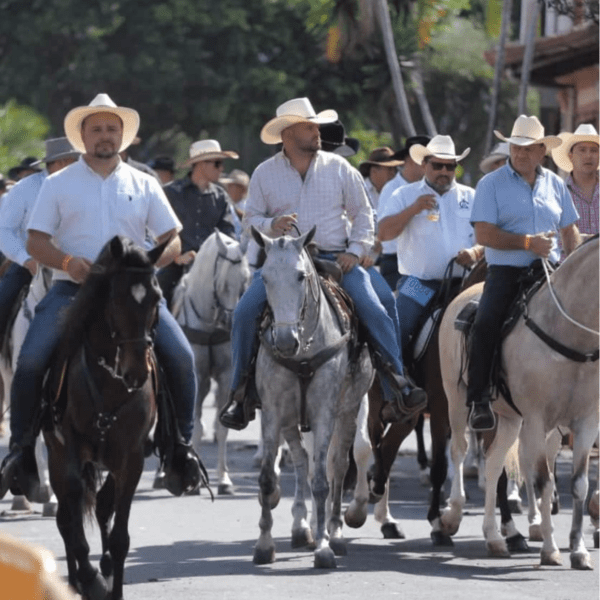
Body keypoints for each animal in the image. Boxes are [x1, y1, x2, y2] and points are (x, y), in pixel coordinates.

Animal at [42, 236, 165, 600]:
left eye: (157, 298)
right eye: (116, 297)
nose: (137, 372)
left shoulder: (132, 458)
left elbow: (120, 536)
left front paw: (114, 586)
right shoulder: (68, 451)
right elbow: (73, 525)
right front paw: (90, 578)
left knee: (101, 506)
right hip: (57, 456)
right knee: (66, 518)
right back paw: (75, 581)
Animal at [171, 229, 251, 492]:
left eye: (245, 280)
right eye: (223, 282)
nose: (230, 322)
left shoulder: (226, 377)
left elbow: (222, 427)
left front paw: (224, 479)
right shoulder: (196, 376)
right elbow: (194, 422)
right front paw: (195, 477)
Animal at [251, 226, 372, 568]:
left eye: (300, 276)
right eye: (264, 277)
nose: (284, 341)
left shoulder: (324, 411)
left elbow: (321, 480)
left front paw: (324, 547)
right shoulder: (273, 411)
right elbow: (268, 478)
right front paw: (264, 545)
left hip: (348, 411)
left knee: (337, 467)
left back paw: (335, 532)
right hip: (292, 420)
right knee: (302, 461)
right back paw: (301, 527)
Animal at [438, 237, 596, 568]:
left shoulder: (587, 422)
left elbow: (579, 485)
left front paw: (578, 550)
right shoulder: (537, 419)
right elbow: (544, 480)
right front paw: (550, 548)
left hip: (510, 418)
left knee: (494, 462)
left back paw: (495, 538)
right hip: (457, 401)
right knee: (459, 450)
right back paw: (452, 515)